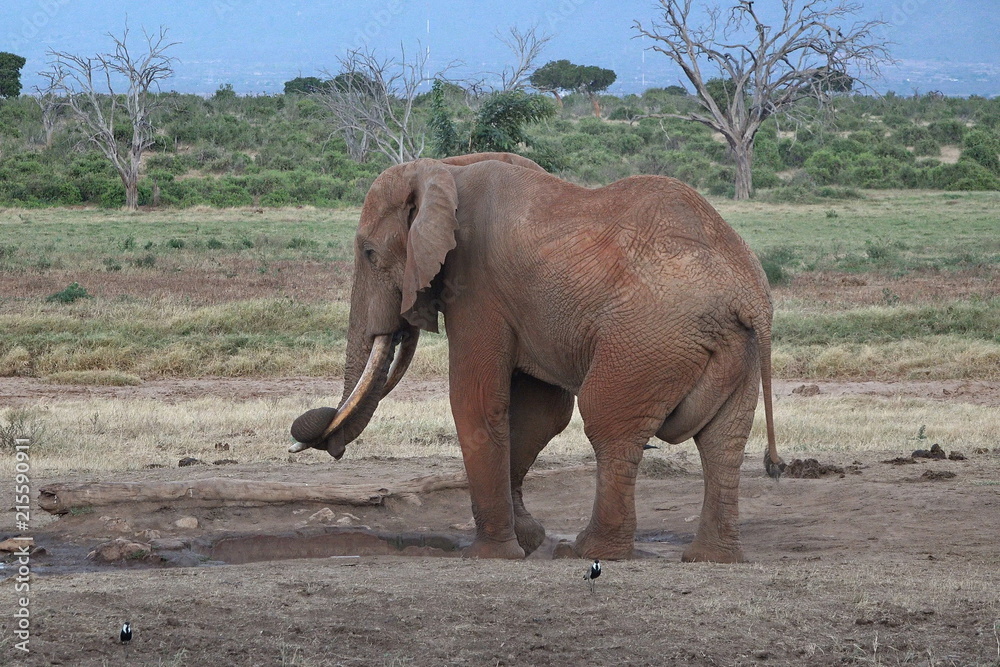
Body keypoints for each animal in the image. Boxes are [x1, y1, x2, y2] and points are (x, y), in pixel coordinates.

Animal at [290, 151, 783, 562]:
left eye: (370, 253)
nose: (314, 434)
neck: (443, 169)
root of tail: (748, 297)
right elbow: (539, 413)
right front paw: (527, 540)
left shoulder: (477, 286)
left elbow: (476, 403)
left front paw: (491, 556)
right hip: (732, 349)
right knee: (723, 442)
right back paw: (711, 559)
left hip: (648, 338)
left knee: (608, 423)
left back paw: (590, 552)